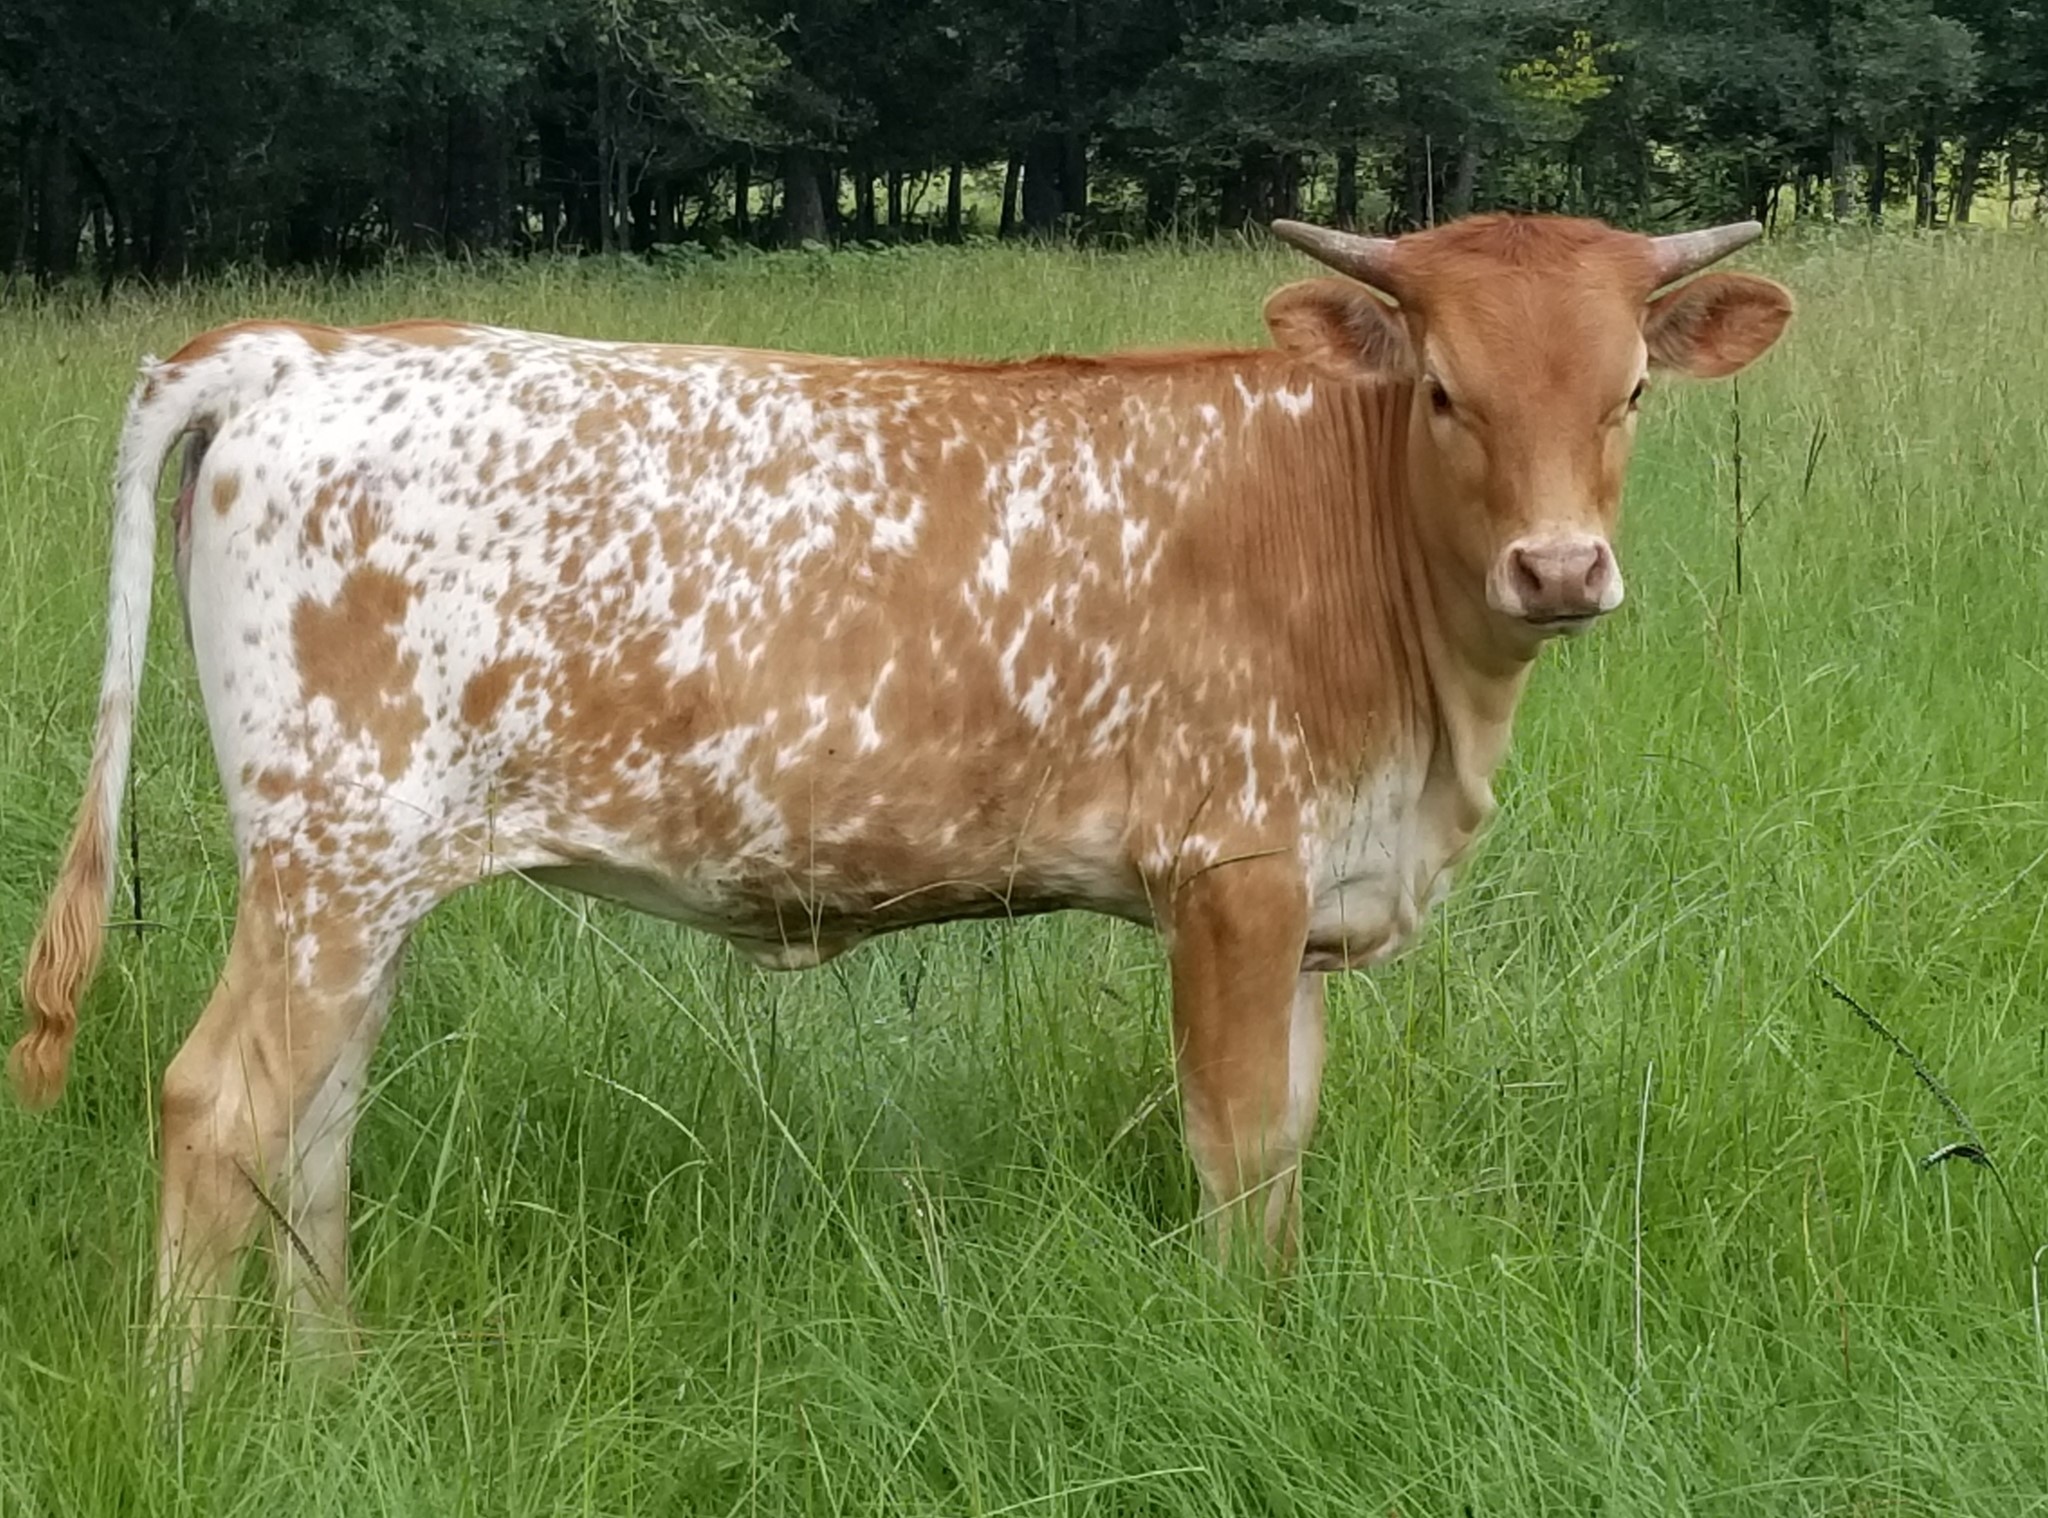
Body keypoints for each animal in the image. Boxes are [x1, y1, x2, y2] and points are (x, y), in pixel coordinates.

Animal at [10, 213, 1791, 1394]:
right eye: (1443, 392)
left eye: (1632, 391)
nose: (1559, 568)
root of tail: (301, 347)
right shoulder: (1234, 871)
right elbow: (1230, 1141)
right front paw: (1238, 1351)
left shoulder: (1306, 903)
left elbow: (1286, 1142)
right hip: (330, 853)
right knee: (219, 1105)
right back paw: (188, 1415)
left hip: (362, 880)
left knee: (314, 1122)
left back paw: (330, 1383)